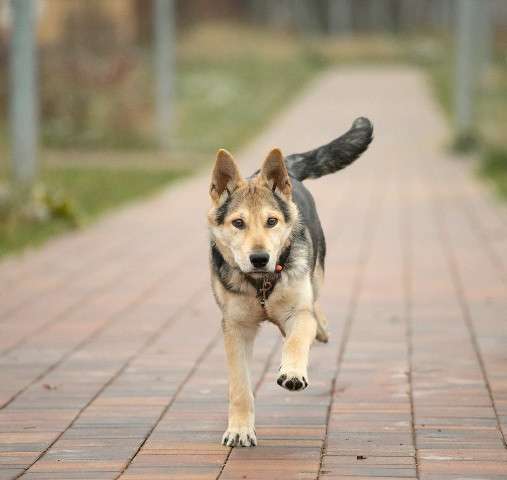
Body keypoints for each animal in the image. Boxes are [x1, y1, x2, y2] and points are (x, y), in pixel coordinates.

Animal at [207, 116, 374, 446]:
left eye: (271, 221)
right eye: (238, 223)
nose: (259, 258)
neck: (262, 284)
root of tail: (289, 173)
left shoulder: (298, 313)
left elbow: (297, 341)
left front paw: (293, 372)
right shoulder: (236, 328)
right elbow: (239, 387)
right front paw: (240, 429)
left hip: (315, 274)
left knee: (313, 308)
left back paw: (320, 331)